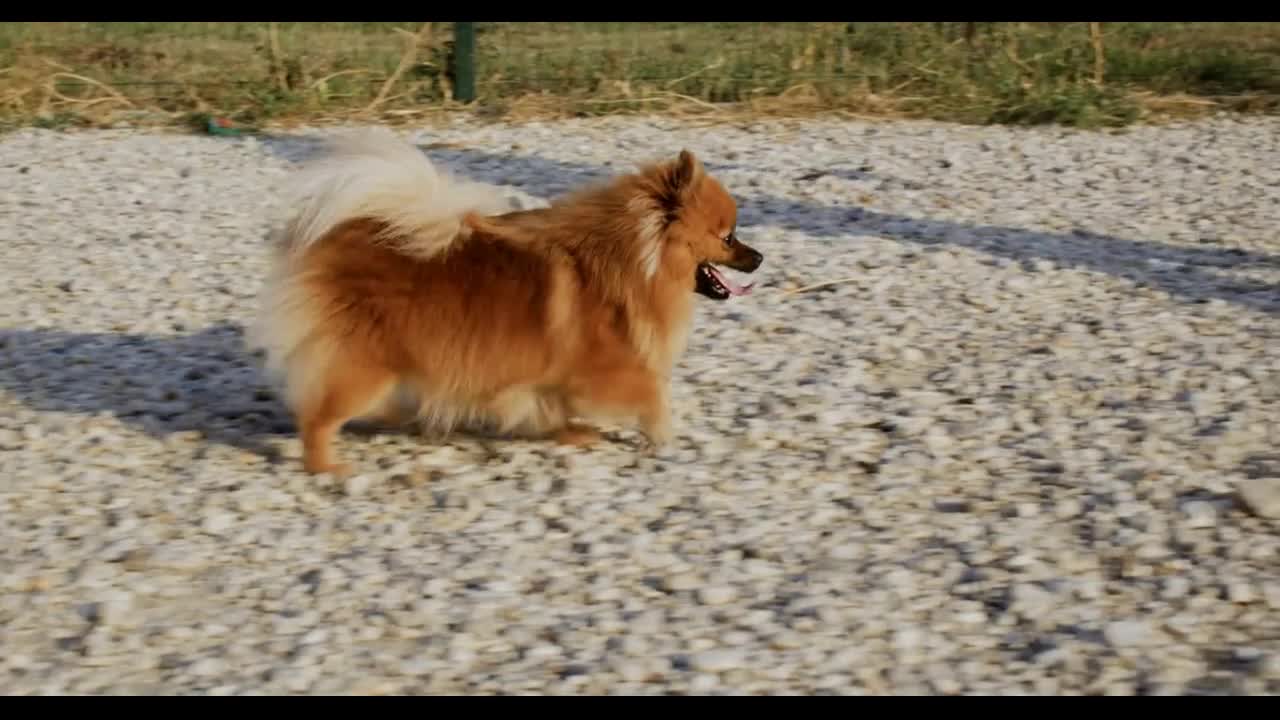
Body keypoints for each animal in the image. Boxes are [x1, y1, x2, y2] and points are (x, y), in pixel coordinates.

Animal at [247, 129, 757, 474]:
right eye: (727, 237)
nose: (760, 257)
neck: (631, 258)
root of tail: (341, 232)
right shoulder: (609, 367)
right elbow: (652, 393)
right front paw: (663, 435)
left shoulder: (549, 372)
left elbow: (552, 405)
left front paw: (573, 433)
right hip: (364, 366)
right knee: (317, 418)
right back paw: (327, 467)